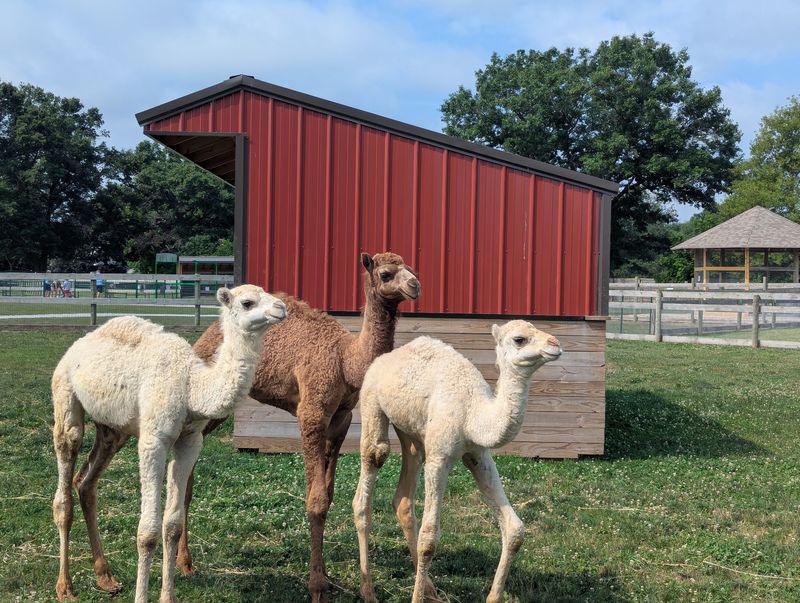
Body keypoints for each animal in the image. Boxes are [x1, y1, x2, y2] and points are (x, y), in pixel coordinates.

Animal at [51, 285, 286, 603]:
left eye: (269, 293)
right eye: (248, 302)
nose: (281, 307)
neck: (191, 386)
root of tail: (75, 348)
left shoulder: (190, 440)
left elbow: (172, 525)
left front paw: (167, 596)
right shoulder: (154, 439)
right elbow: (147, 532)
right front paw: (141, 597)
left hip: (114, 429)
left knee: (86, 483)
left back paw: (106, 578)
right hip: (65, 395)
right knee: (65, 483)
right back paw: (65, 587)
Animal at [180, 251, 420, 602]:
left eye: (411, 268)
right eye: (387, 274)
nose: (415, 285)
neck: (346, 360)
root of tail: (205, 335)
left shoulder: (341, 419)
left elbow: (328, 495)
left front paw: (327, 574)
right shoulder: (311, 413)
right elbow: (316, 500)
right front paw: (317, 586)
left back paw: (184, 562)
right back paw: (180, 563)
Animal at [353, 320, 563, 603]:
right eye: (519, 339)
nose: (555, 343)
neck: (472, 414)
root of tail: (382, 360)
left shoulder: (478, 454)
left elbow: (515, 529)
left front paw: (493, 597)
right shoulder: (440, 457)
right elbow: (429, 539)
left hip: (413, 432)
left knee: (404, 494)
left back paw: (430, 589)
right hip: (372, 402)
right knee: (372, 463)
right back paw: (368, 590)